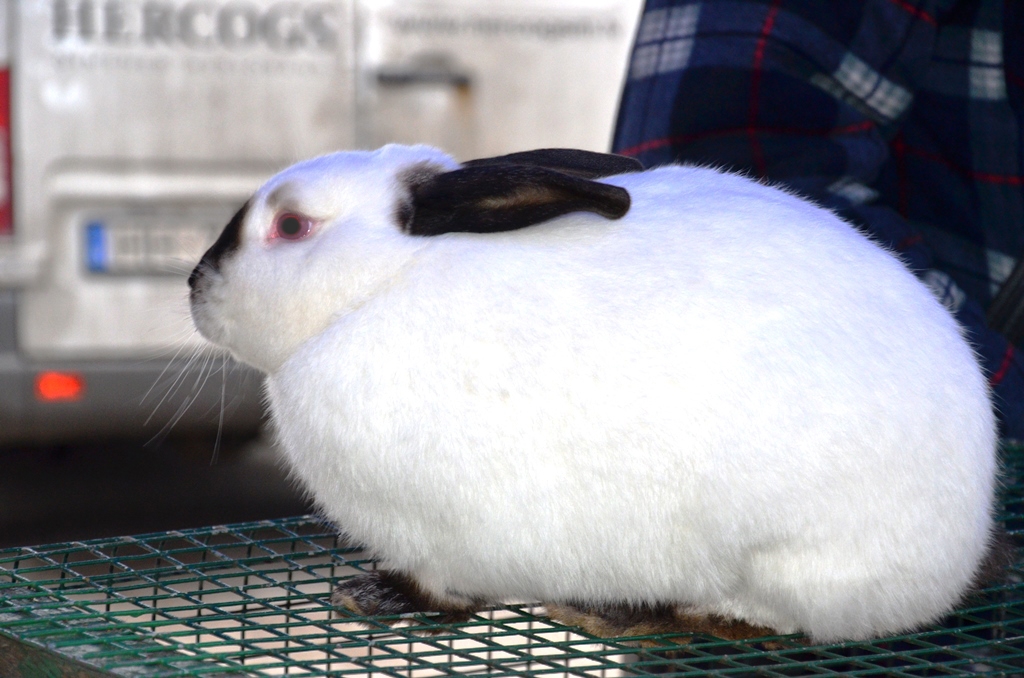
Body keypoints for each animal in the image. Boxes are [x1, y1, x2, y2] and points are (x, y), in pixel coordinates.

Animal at [188, 142, 1003, 643]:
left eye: (292, 226)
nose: (195, 286)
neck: (379, 285)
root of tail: (957, 559)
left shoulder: (444, 537)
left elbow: (443, 589)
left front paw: (379, 596)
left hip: (779, 557)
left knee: (759, 616)